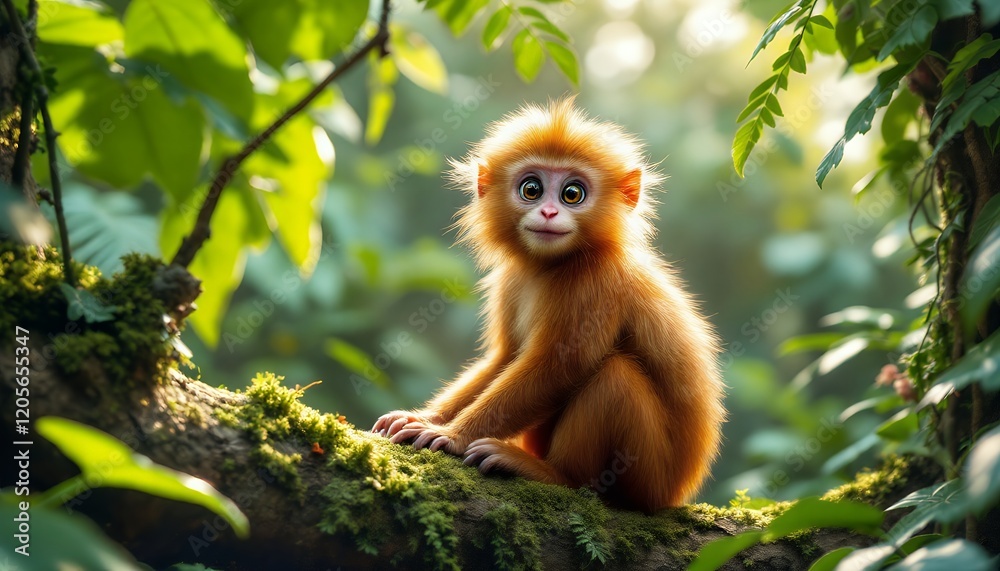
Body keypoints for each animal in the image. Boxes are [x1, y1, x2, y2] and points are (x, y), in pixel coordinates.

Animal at [372, 98, 725, 512]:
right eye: (532, 189)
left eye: (572, 193)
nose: (548, 213)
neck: (554, 266)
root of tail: (676, 492)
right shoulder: (511, 280)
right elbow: (506, 357)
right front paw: (422, 417)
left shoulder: (597, 281)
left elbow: (562, 364)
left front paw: (452, 435)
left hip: (650, 477)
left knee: (614, 376)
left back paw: (554, 475)